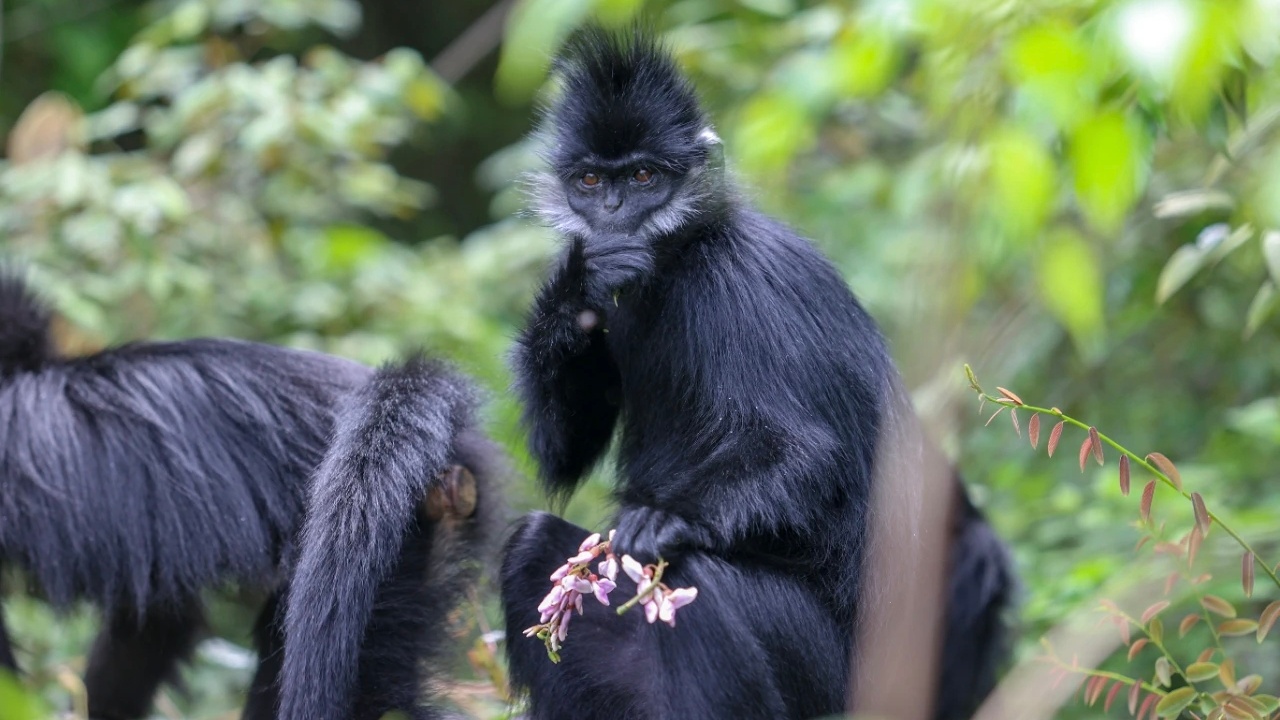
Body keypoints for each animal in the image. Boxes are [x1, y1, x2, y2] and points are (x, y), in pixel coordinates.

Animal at [499, 27, 1015, 720]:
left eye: (643, 177)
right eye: (589, 180)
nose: (614, 212)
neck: (680, 258)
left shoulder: (741, 287)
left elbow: (806, 454)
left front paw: (665, 519)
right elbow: (563, 453)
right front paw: (580, 280)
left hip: (826, 676)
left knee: (697, 571)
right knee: (532, 542)